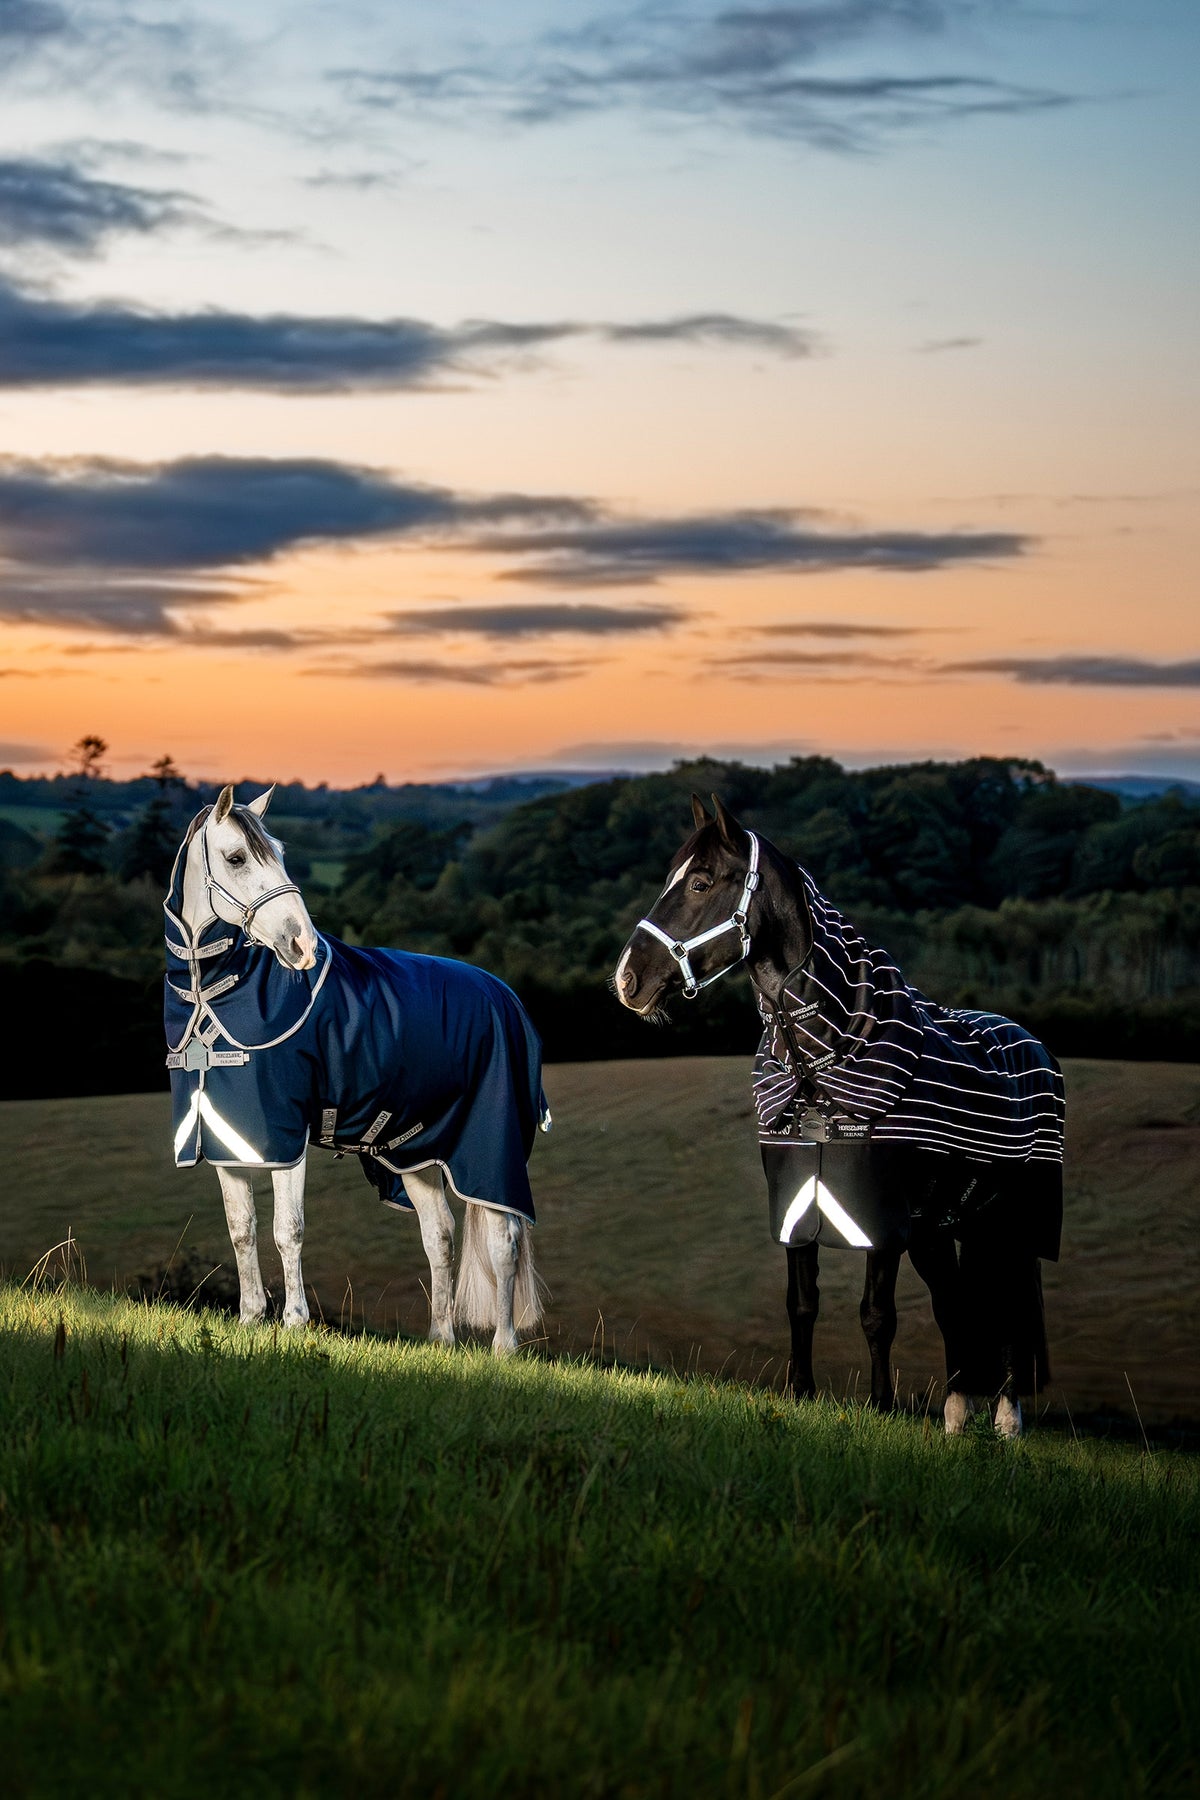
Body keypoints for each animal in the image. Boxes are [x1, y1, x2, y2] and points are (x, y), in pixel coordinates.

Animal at [163, 784, 548, 1352]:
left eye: (280, 853)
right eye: (236, 858)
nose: (300, 946)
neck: (216, 995)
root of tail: (507, 996)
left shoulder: (286, 1137)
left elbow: (287, 1228)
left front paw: (294, 1321)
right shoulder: (227, 1139)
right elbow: (242, 1228)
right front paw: (250, 1317)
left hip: (490, 1154)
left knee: (504, 1240)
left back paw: (503, 1347)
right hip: (415, 1152)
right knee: (440, 1235)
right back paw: (441, 1339)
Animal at [613, 794, 1064, 1437]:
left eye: (700, 881)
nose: (628, 979)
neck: (822, 1061)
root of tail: (1034, 1046)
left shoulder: (880, 1222)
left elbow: (877, 1314)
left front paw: (882, 1408)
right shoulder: (799, 1203)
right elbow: (802, 1304)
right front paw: (800, 1395)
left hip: (1011, 1226)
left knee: (1008, 1308)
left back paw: (1006, 1419)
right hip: (939, 1229)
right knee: (955, 1304)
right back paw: (956, 1417)